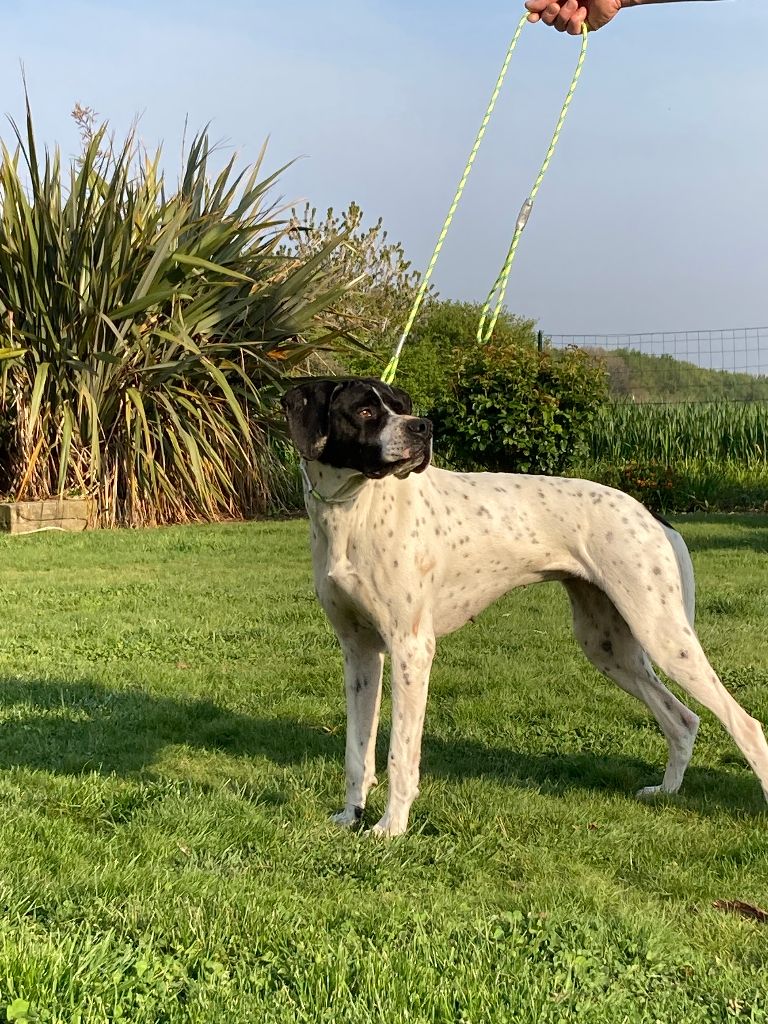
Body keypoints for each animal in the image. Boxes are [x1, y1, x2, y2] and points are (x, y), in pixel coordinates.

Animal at [282, 377, 768, 836]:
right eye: (365, 410)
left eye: (401, 406)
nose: (424, 428)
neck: (352, 511)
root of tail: (649, 513)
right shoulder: (360, 654)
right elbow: (356, 752)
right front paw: (352, 815)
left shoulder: (411, 649)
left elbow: (400, 753)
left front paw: (391, 827)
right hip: (610, 648)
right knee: (682, 720)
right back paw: (665, 792)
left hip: (662, 636)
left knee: (744, 724)